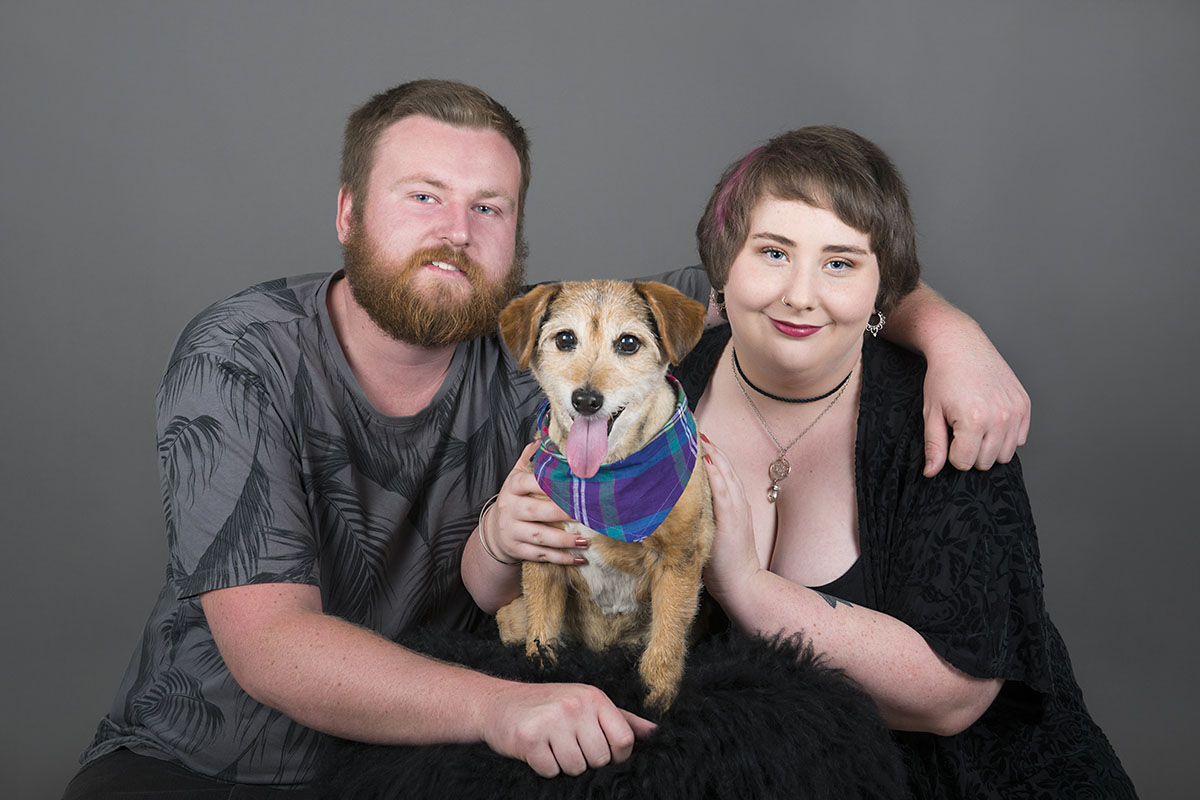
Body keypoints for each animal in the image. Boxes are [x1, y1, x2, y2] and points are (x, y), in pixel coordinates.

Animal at [494, 278, 710, 710]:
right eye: (565, 338)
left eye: (628, 343)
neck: (599, 481)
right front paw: (542, 678)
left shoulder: (678, 560)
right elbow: (542, 633)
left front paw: (657, 700)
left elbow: (666, 643)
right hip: (511, 613)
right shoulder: (541, 557)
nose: (586, 400)